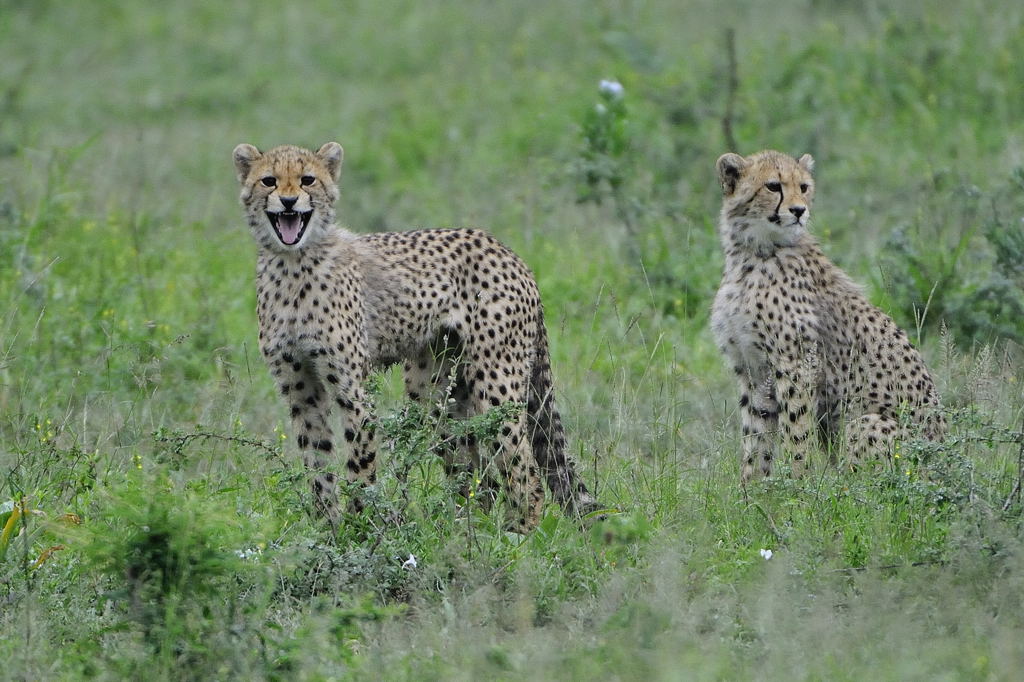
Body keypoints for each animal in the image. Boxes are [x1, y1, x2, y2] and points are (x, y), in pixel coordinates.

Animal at [233, 141, 598, 532]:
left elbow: (360, 464)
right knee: (477, 476)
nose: (288, 201)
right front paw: (325, 529)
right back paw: (463, 533)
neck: (293, 263)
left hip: (496, 380)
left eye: (307, 180)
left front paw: (360, 529)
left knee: (523, 470)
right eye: (269, 181)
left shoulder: (352, 388)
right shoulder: (301, 390)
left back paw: (516, 537)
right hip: (435, 388)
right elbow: (316, 463)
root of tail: (506, 251)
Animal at [710, 149, 945, 482]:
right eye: (773, 186)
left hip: (867, 423)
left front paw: (797, 485)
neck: (753, 251)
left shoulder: (796, 363)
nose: (798, 210)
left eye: (804, 187)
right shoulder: (751, 367)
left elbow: (796, 431)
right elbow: (755, 434)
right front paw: (751, 487)